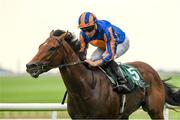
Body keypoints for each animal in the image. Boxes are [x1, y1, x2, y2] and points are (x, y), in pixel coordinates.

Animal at [26, 29, 180, 119]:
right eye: (40, 46)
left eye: (52, 48)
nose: (30, 66)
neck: (86, 88)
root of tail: (155, 73)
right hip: (124, 114)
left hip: (156, 110)